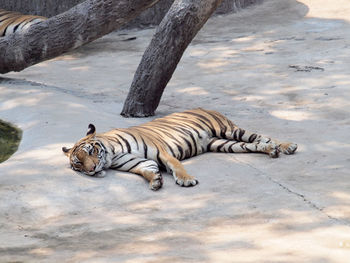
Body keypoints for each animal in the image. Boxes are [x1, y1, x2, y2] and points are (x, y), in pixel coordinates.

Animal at [61, 108, 296, 191]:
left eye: (91, 152)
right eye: (78, 163)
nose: (92, 170)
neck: (112, 153)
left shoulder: (162, 152)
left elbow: (176, 166)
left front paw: (186, 180)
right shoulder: (139, 162)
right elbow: (147, 170)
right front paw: (155, 180)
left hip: (230, 130)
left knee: (262, 136)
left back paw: (287, 146)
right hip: (224, 145)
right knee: (255, 144)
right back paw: (271, 150)